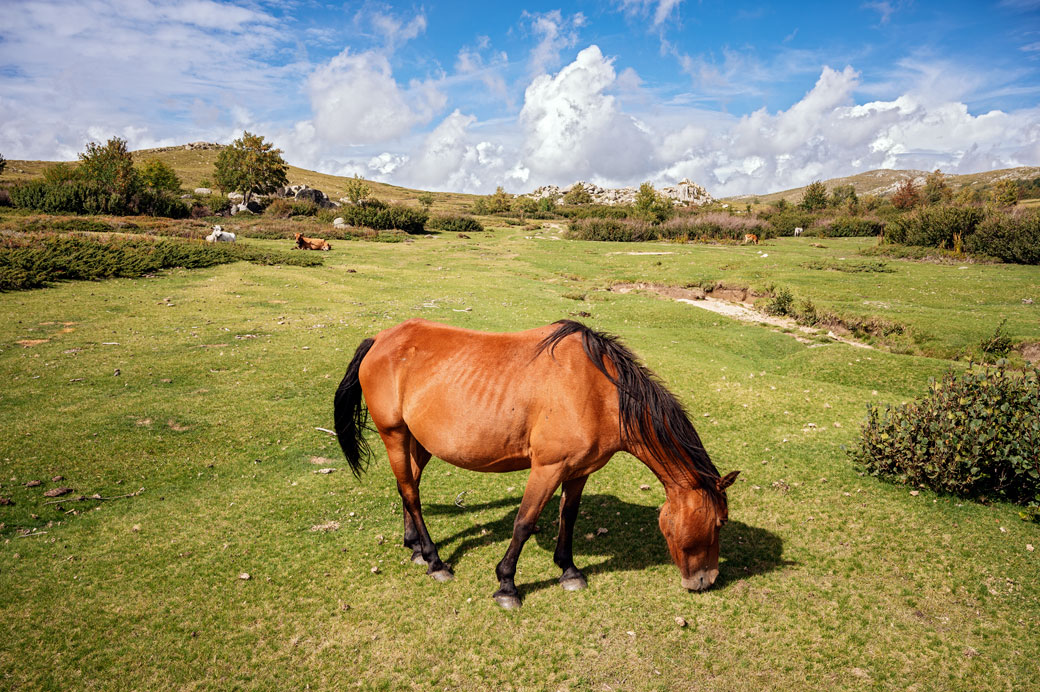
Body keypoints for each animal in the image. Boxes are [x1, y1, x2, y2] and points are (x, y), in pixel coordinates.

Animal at [332, 316, 740, 607]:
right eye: (719, 523)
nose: (706, 581)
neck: (599, 391)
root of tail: (380, 340)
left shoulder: (579, 471)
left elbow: (568, 517)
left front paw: (569, 570)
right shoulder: (548, 468)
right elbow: (524, 523)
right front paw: (507, 585)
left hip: (418, 441)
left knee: (409, 486)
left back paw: (415, 547)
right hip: (394, 435)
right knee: (411, 493)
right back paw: (434, 561)